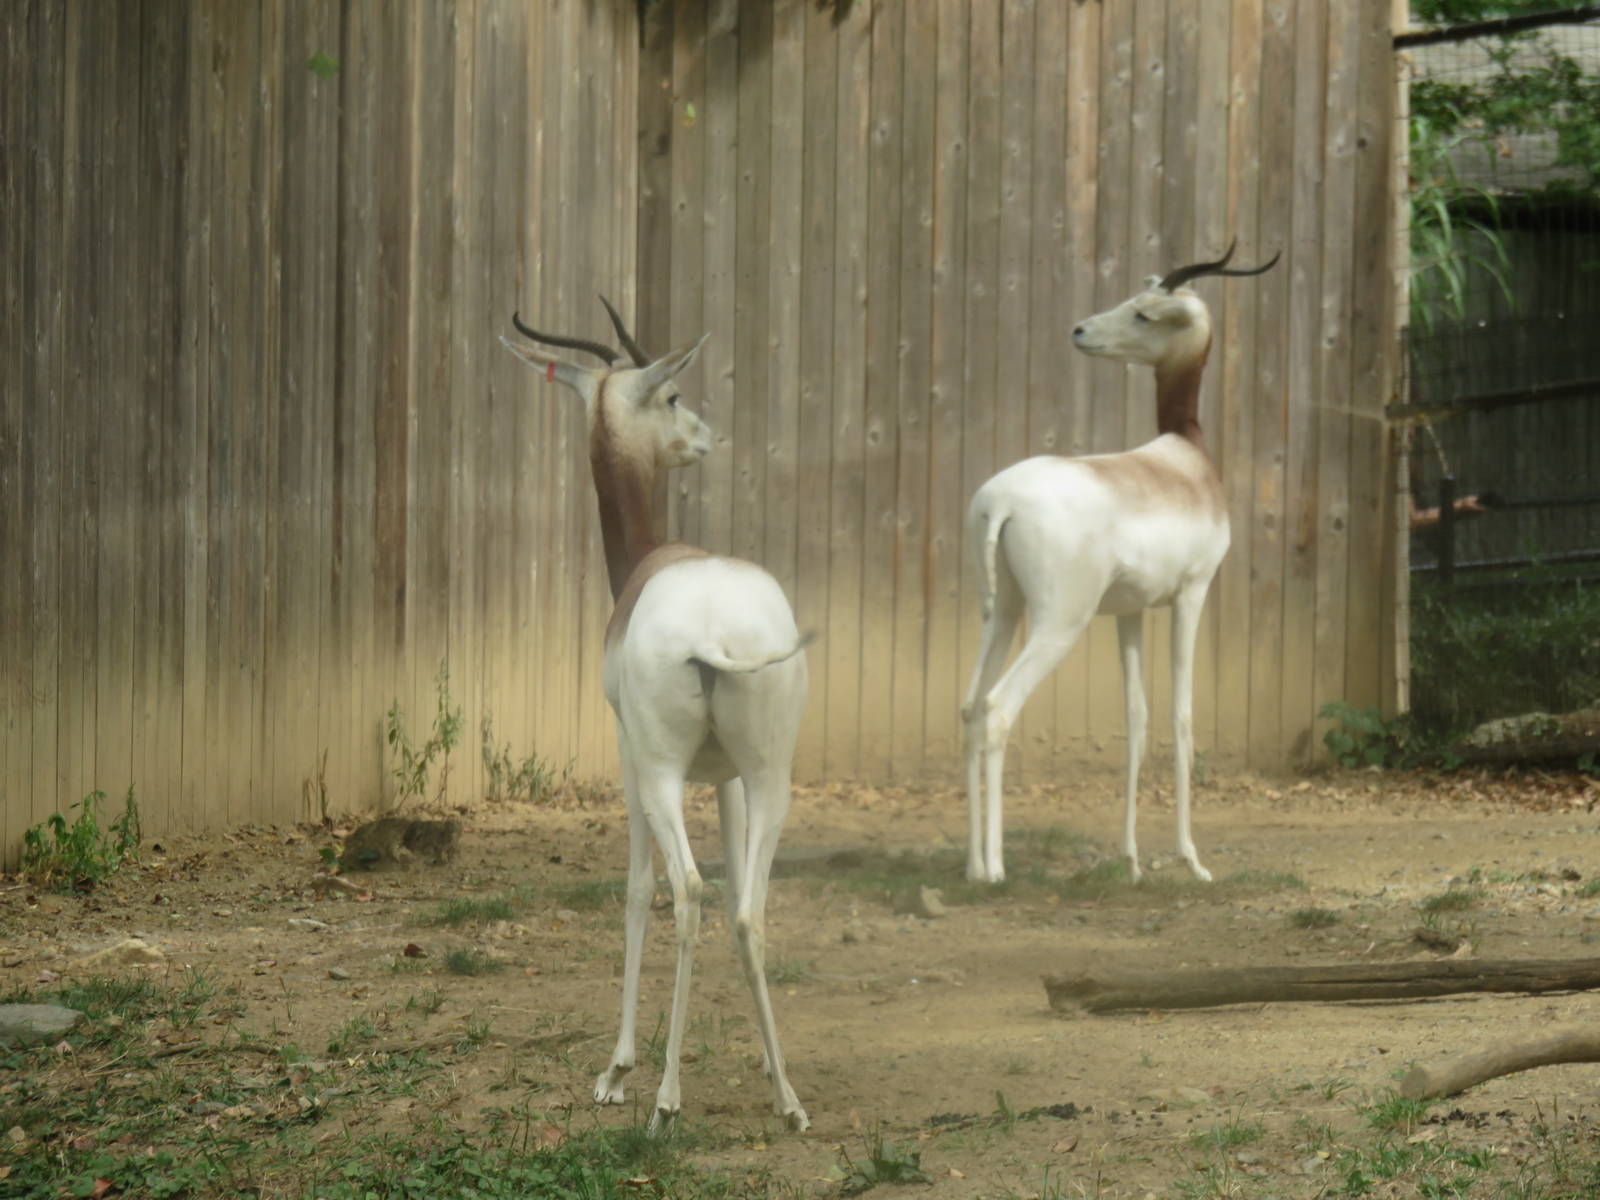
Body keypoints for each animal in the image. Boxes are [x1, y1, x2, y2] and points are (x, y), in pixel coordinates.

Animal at [502, 299, 812, 1133]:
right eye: (673, 397)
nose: (704, 436)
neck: (653, 558)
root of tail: (711, 630)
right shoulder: (728, 779)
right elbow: (738, 899)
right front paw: (769, 1067)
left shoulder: (626, 752)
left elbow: (639, 890)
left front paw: (617, 1071)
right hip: (771, 778)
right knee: (746, 908)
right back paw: (789, 1100)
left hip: (666, 774)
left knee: (689, 892)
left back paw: (667, 1099)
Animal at [961, 243, 1279, 885]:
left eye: (1143, 312)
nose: (1080, 330)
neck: (1188, 462)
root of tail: (1000, 501)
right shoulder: (1192, 594)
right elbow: (1182, 715)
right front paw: (1192, 860)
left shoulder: (1129, 612)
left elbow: (1137, 718)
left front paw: (1131, 860)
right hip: (1059, 623)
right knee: (998, 707)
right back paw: (997, 868)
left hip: (1001, 611)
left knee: (969, 707)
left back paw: (972, 865)